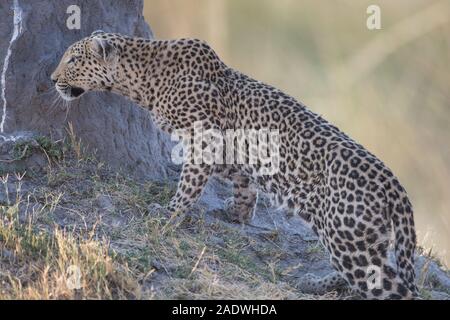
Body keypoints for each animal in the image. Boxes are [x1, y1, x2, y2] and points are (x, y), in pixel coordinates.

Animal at [51, 31, 416, 298]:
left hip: (347, 237)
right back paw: (314, 283)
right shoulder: (234, 149)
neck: (144, 79)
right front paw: (238, 213)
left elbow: (190, 184)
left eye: (73, 59)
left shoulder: (204, 139)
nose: (52, 78)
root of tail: (395, 185)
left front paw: (168, 213)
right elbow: (243, 183)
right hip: (352, 237)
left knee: (394, 288)